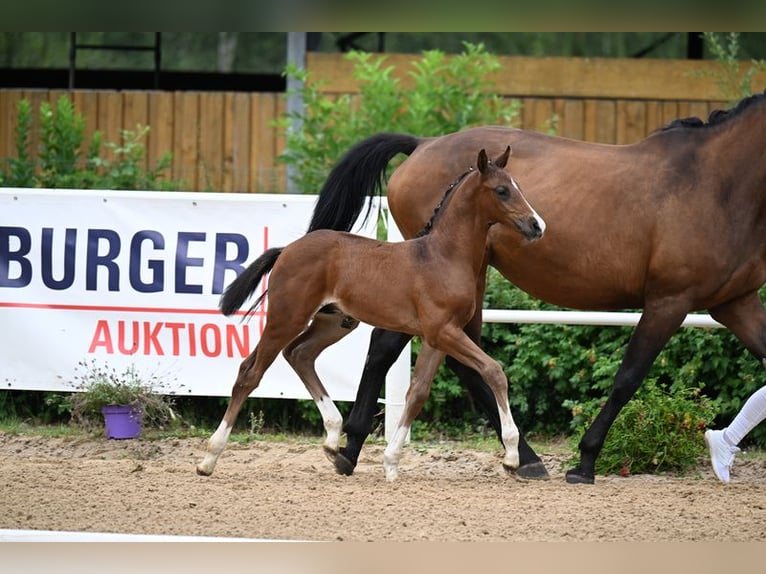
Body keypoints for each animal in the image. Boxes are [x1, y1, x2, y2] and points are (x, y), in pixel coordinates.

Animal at [196, 147, 545, 480]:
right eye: (502, 190)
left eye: (517, 185)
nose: (537, 226)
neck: (442, 256)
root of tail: (286, 250)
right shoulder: (444, 332)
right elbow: (493, 370)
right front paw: (512, 457)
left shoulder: (439, 336)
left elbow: (417, 393)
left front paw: (391, 463)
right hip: (287, 317)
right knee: (250, 372)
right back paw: (209, 459)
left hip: (335, 322)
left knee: (300, 354)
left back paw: (333, 439)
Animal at [306, 90, 766, 485]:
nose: (537, 224)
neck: (713, 184)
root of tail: (422, 144)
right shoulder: (670, 300)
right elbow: (628, 377)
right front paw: (585, 462)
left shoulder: (733, 302)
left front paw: (721, 453)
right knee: (413, 350)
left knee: (434, 354)